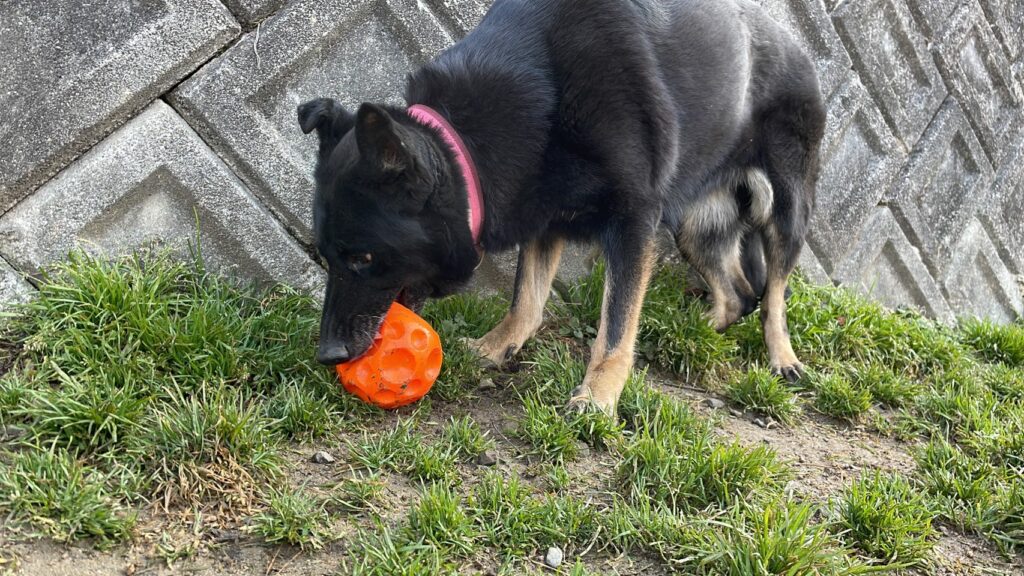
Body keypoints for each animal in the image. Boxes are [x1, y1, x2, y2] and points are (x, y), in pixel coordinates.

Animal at [298, 0, 826, 415]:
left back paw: (782, 357)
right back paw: (691, 331)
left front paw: (598, 396)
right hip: (696, 227)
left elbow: (615, 324)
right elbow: (527, 300)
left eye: (363, 258)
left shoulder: (634, 222)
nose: (328, 354)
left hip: (787, 211)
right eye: (327, 256)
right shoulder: (544, 215)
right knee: (738, 293)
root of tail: (795, 41)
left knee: (773, 293)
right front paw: (495, 348)